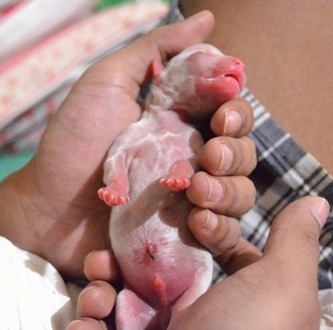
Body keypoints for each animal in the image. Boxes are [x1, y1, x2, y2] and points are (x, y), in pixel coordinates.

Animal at [97, 44, 245, 330]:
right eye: (200, 53)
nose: (241, 64)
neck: (169, 122)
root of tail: (162, 308)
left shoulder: (195, 144)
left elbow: (190, 165)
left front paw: (176, 179)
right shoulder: (127, 137)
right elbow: (113, 164)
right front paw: (115, 192)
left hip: (196, 288)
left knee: (185, 309)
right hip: (128, 300)